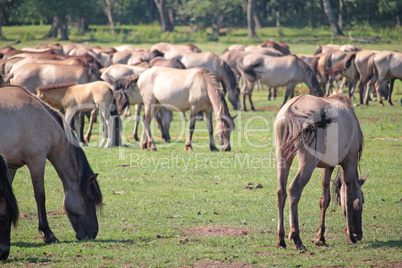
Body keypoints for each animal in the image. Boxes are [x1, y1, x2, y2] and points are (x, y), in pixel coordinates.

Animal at [0, 85, 103, 243]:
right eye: (90, 199)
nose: (93, 233)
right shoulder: (37, 161)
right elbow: (40, 197)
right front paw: (48, 234)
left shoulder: (11, 166)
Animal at [274, 93, 366, 249]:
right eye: (362, 201)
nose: (359, 235)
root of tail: (290, 110)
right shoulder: (349, 162)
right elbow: (348, 198)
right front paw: (350, 236)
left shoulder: (328, 167)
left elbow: (325, 199)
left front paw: (320, 237)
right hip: (307, 164)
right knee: (294, 190)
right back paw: (296, 238)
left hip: (283, 158)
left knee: (281, 192)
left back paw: (281, 239)